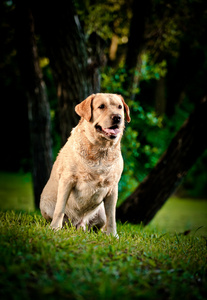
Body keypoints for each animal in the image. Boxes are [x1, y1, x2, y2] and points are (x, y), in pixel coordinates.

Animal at [39, 92, 130, 236]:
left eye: (120, 107)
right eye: (101, 106)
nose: (117, 117)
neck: (100, 151)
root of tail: (77, 223)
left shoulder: (113, 187)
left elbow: (112, 216)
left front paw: (112, 235)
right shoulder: (67, 179)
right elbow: (60, 208)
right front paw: (54, 228)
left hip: (100, 213)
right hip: (46, 205)